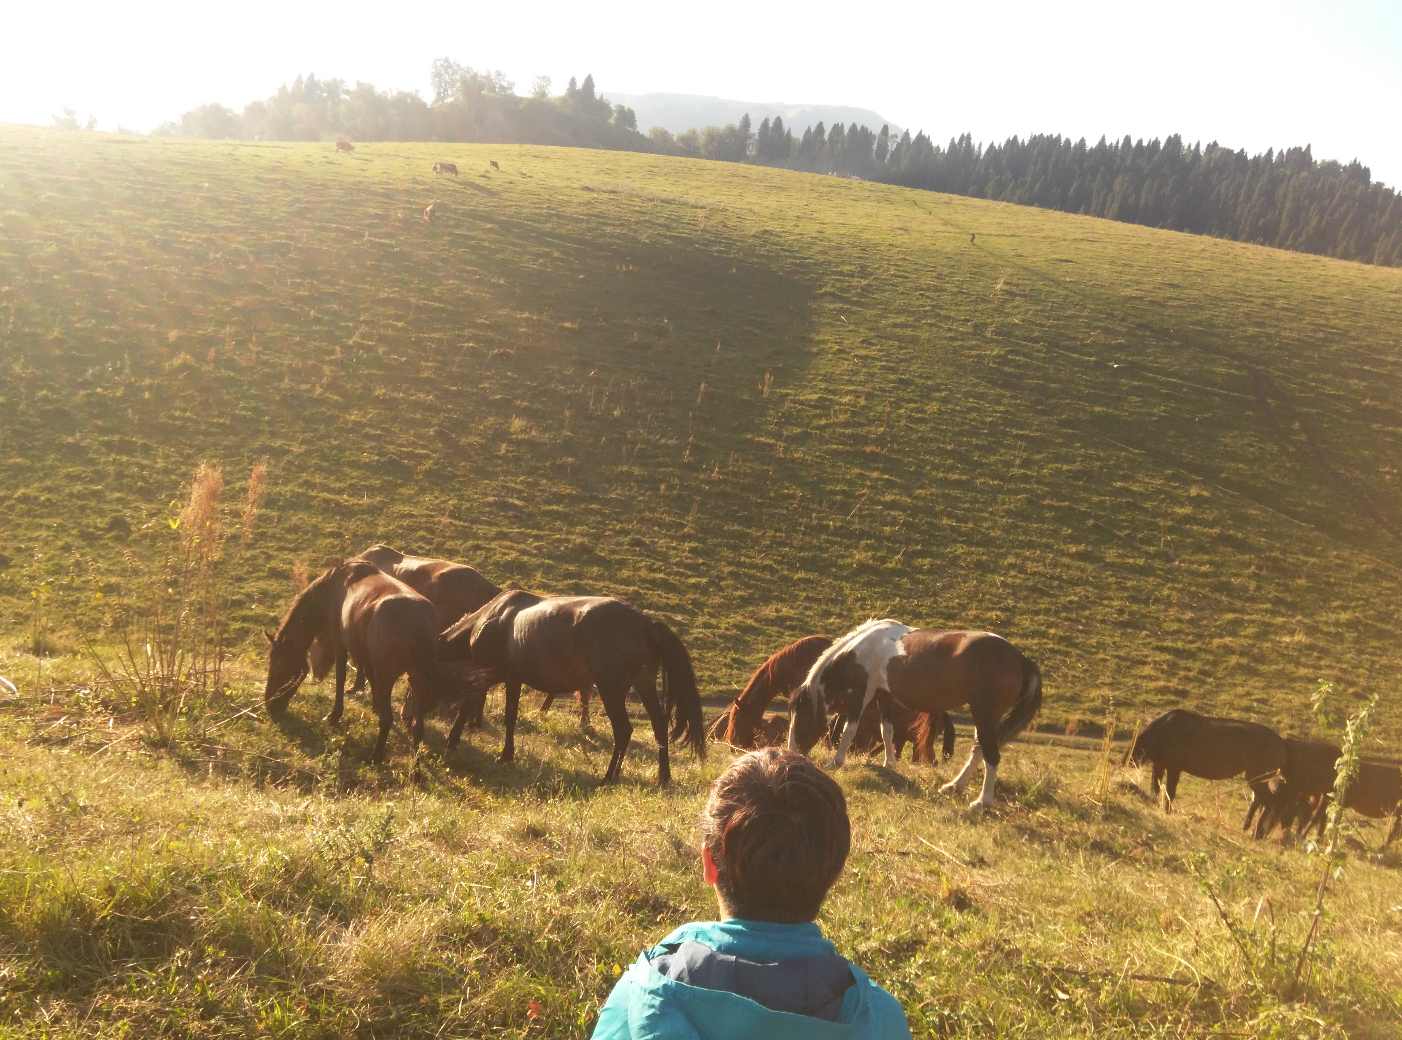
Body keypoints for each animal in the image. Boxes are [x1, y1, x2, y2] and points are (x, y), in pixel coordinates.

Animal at [263, 559, 450, 761]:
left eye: (279, 664)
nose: (269, 704)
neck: (334, 587)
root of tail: (419, 624)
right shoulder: (365, 655)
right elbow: (368, 679)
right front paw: (375, 705)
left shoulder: (340, 644)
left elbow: (341, 678)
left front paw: (334, 715)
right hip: (417, 680)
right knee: (418, 726)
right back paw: (415, 764)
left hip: (389, 676)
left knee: (388, 719)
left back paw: (376, 756)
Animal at [439, 590, 705, 784]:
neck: (493, 617)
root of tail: (646, 623)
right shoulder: (513, 679)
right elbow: (510, 717)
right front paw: (506, 755)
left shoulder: (491, 676)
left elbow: (468, 706)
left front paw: (453, 741)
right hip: (644, 684)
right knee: (659, 725)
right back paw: (663, 777)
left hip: (611, 689)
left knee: (623, 730)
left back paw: (609, 777)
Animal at [788, 620, 1042, 809]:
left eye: (801, 718)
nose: (792, 755)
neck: (864, 650)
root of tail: (1020, 659)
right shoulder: (883, 695)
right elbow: (887, 730)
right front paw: (889, 762)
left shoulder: (862, 694)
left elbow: (848, 730)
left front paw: (836, 761)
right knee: (978, 748)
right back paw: (954, 787)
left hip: (984, 713)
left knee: (991, 755)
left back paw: (982, 802)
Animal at [1128, 709, 1286, 834]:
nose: (1128, 762)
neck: (1163, 732)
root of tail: (1280, 742)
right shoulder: (1159, 765)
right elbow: (1155, 788)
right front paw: (1155, 805)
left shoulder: (1174, 768)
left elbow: (1169, 792)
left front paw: (1167, 811)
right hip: (1257, 778)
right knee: (1260, 802)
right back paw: (1249, 828)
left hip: (1256, 777)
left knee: (1271, 804)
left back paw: (1257, 833)